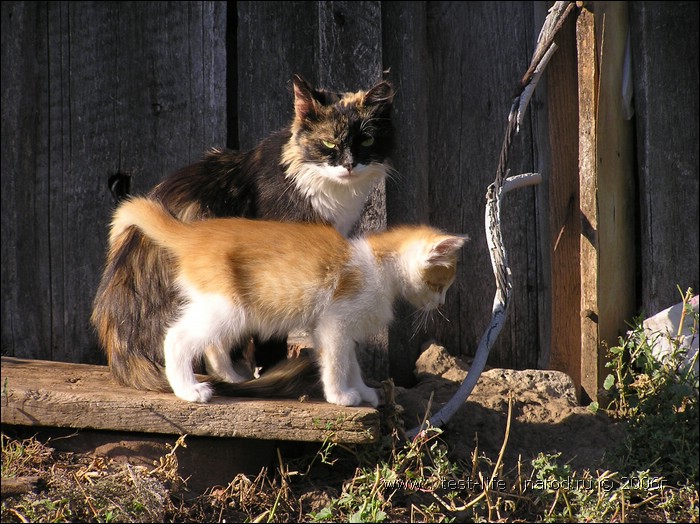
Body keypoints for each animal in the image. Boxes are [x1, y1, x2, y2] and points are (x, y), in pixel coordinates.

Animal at [112, 196, 468, 406]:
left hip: (224, 306)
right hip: (227, 307)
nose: (441, 303)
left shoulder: (338, 328)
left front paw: (365, 392)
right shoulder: (334, 323)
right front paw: (340, 396)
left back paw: (230, 377)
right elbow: (337, 362)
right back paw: (188, 389)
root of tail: (194, 234)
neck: (381, 264)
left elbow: (351, 362)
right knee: (176, 337)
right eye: (442, 283)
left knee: (212, 344)